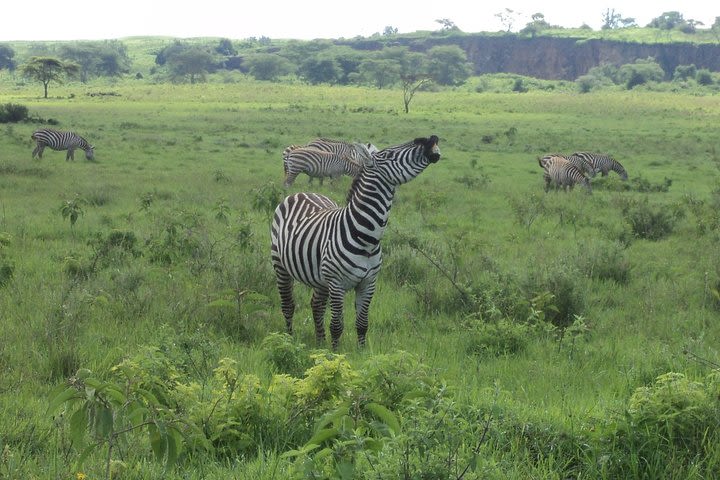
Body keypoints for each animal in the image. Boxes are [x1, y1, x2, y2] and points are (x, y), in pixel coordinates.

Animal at [270, 135, 438, 348]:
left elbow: (362, 323)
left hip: (320, 279)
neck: (367, 238)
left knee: (316, 305)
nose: (432, 138)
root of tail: (302, 193)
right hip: (281, 266)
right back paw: (288, 340)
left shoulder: (368, 283)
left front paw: (361, 350)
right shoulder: (337, 283)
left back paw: (319, 342)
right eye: (389, 155)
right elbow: (336, 325)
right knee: (288, 305)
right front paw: (334, 353)